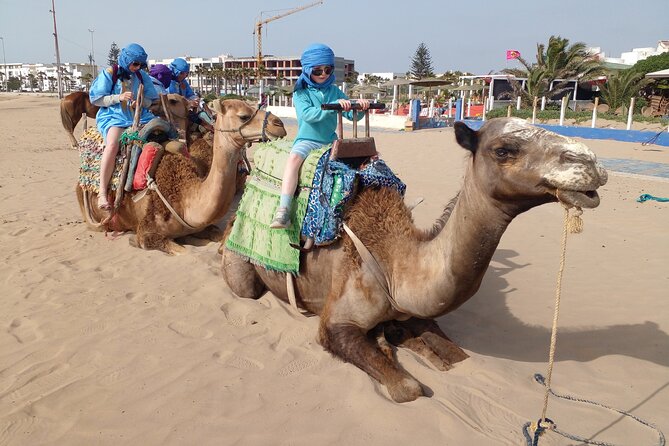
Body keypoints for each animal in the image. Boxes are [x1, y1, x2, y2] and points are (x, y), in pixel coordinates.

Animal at [75, 100, 284, 254]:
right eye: (243, 116)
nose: (279, 124)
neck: (185, 198)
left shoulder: (205, 226)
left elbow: (217, 234)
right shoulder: (147, 233)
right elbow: (185, 251)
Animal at [222, 116, 608, 402]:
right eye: (504, 149)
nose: (590, 162)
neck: (394, 264)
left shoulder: (416, 311)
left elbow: (460, 358)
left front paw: (399, 337)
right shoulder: (336, 321)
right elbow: (407, 389)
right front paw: (393, 349)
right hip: (238, 264)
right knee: (244, 287)